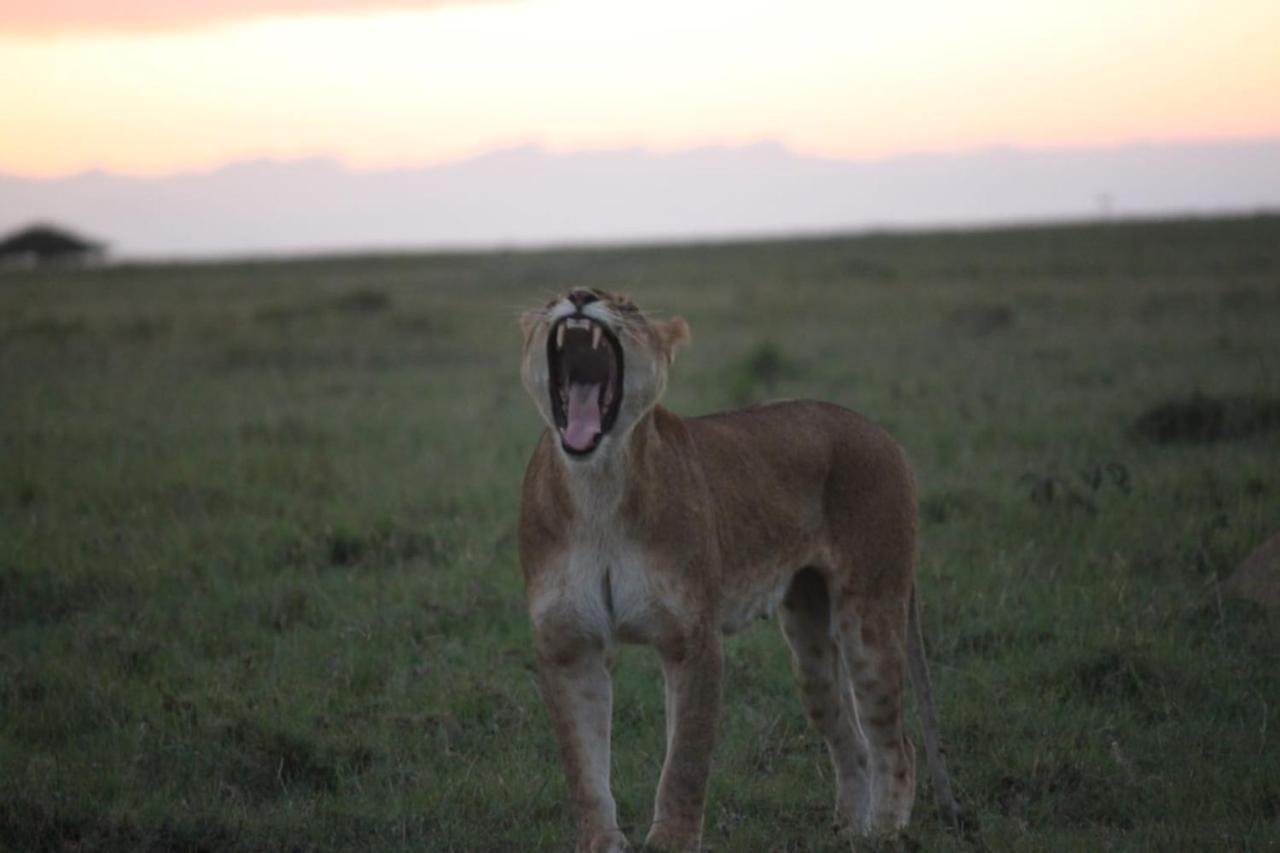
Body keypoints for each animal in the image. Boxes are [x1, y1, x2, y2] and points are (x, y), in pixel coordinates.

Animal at [514, 289, 957, 845]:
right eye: (553, 298)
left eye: (626, 305)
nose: (579, 297)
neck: (598, 486)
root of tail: (885, 434)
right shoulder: (568, 646)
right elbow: (584, 768)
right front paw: (601, 844)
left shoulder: (692, 640)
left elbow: (684, 763)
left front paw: (671, 844)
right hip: (809, 642)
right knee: (849, 738)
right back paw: (847, 834)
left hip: (870, 617)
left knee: (897, 745)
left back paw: (882, 835)